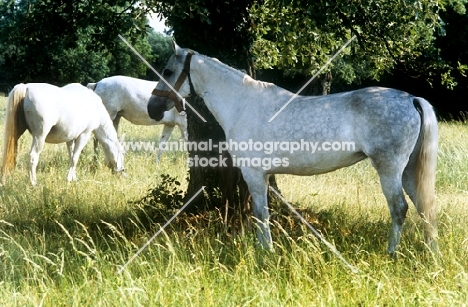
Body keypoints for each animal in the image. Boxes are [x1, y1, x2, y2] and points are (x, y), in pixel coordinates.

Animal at [148, 42, 440, 256]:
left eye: (168, 71)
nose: (152, 108)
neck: (242, 104)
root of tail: (411, 98)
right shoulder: (263, 175)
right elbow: (260, 213)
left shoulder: (254, 174)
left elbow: (260, 213)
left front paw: (265, 252)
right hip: (408, 170)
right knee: (424, 206)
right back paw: (431, 254)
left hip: (389, 169)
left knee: (400, 208)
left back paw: (391, 254)